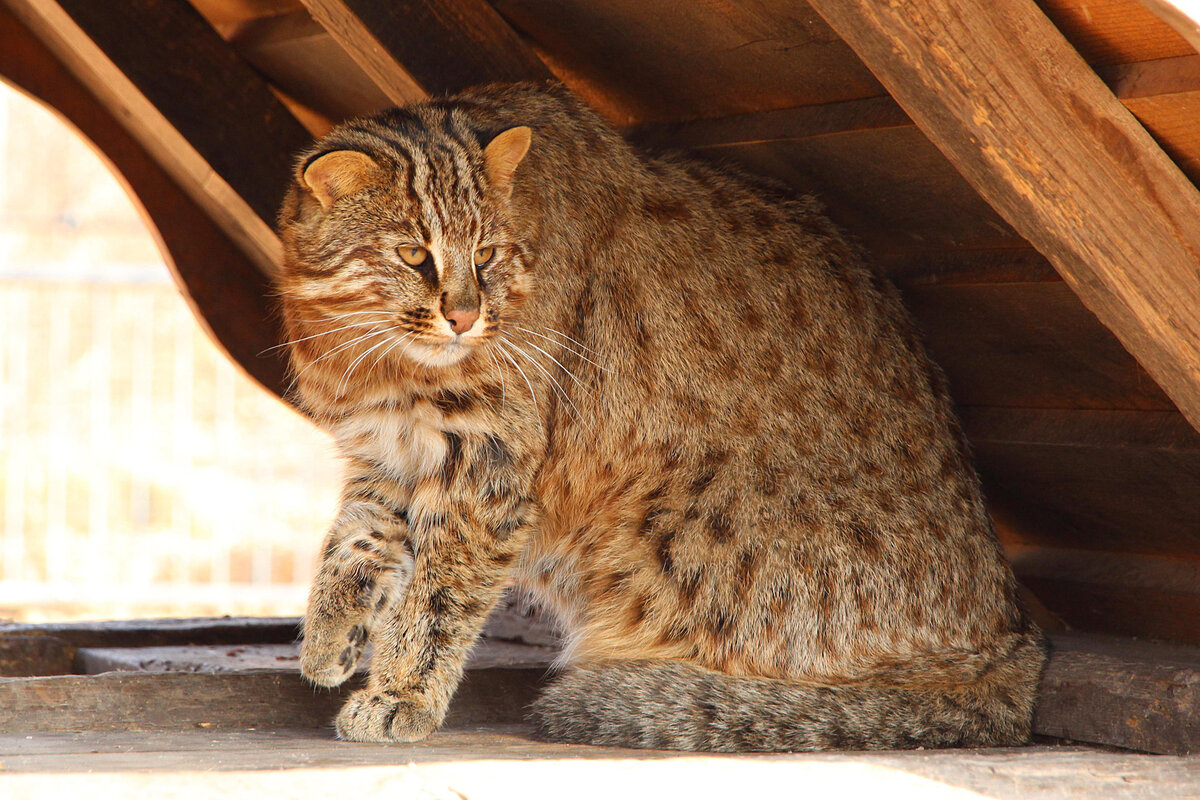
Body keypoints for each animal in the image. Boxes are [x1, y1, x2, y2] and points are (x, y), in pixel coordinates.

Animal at [276, 81, 1046, 753]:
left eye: (486, 255)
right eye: (413, 253)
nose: (465, 317)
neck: (373, 354)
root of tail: (1013, 640)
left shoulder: (488, 467)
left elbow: (440, 595)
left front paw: (402, 692)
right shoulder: (392, 448)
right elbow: (357, 536)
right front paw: (330, 633)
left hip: (665, 528)